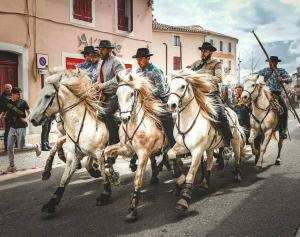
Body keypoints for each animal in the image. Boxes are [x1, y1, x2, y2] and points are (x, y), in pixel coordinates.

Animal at [29, 68, 112, 213]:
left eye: (47, 96)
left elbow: (102, 171)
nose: (32, 119)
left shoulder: (100, 152)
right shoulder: (74, 154)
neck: (81, 124)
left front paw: (105, 194)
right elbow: (64, 179)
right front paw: (52, 201)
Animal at [103, 71, 168, 222]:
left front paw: (132, 210)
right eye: (117, 94)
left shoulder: (143, 154)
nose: (124, 118)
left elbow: (137, 180)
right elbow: (106, 151)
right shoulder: (126, 149)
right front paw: (112, 175)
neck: (134, 125)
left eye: (132, 93)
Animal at [166, 71, 246, 211]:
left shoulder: (197, 151)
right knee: (209, 161)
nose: (171, 105)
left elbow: (191, 174)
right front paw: (179, 178)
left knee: (237, 157)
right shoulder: (182, 146)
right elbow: (170, 153)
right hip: (209, 147)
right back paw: (205, 182)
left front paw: (184, 198)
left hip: (235, 141)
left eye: (182, 86)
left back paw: (237, 175)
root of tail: (232, 111)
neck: (187, 121)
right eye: (169, 86)